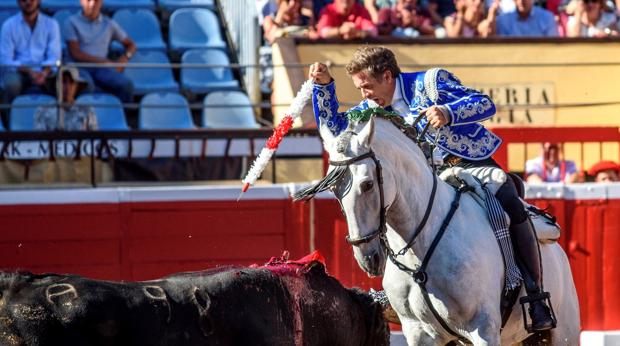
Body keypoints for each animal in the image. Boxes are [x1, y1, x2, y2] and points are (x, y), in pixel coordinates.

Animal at [312, 117, 580, 346]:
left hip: (564, 332)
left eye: (367, 184)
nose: (367, 258)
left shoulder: (484, 329)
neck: (423, 245)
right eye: (333, 189)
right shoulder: (419, 333)